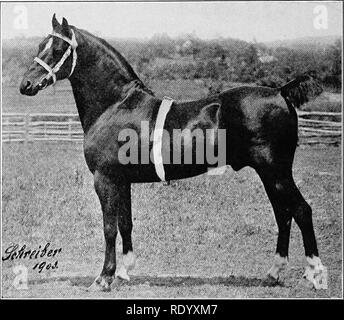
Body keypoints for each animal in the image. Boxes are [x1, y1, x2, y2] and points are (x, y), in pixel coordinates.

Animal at [20, 16, 326, 294]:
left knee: (301, 210)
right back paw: (273, 273)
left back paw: (316, 275)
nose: (26, 85)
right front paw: (124, 272)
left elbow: (109, 227)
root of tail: (281, 92)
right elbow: (125, 223)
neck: (116, 105)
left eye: (58, 49)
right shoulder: (122, 180)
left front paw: (104, 278)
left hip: (275, 172)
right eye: (40, 44)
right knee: (283, 214)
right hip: (270, 174)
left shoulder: (104, 179)